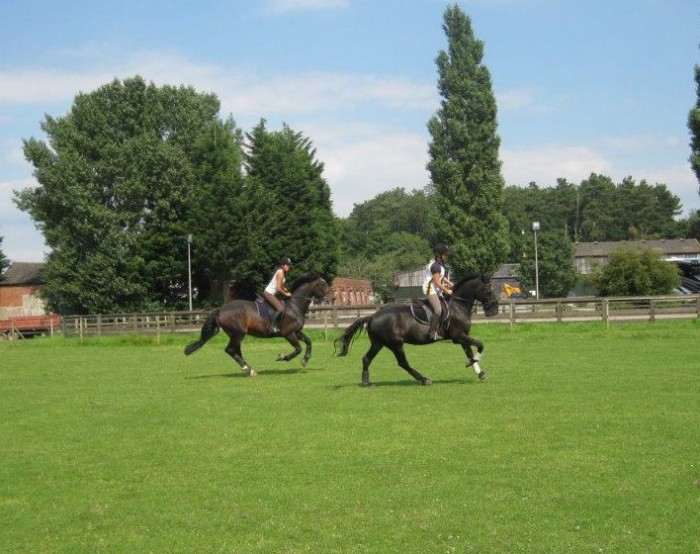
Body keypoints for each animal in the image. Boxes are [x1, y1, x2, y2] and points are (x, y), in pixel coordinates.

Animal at [185, 272, 330, 376]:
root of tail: (220, 309)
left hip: (236, 335)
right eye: (323, 284)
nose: (330, 298)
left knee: (235, 350)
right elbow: (298, 349)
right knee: (230, 350)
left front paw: (305, 360)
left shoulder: (297, 332)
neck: (294, 306)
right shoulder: (288, 334)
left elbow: (309, 342)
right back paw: (248, 369)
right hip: (238, 333)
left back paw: (249, 369)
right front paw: (282, 357)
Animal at [334, 274, 498, 386]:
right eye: (488, 291)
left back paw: (366, 382)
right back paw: (424, 379)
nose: (494, 310)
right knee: (402, 363)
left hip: (378, 343)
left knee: (366, 358)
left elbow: (470, 351)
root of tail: (372, 316)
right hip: (396, 344)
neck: (458, 306)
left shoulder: (463, 336)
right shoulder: (458, 336)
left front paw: (479, 372)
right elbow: (480, 345)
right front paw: (473, 362)